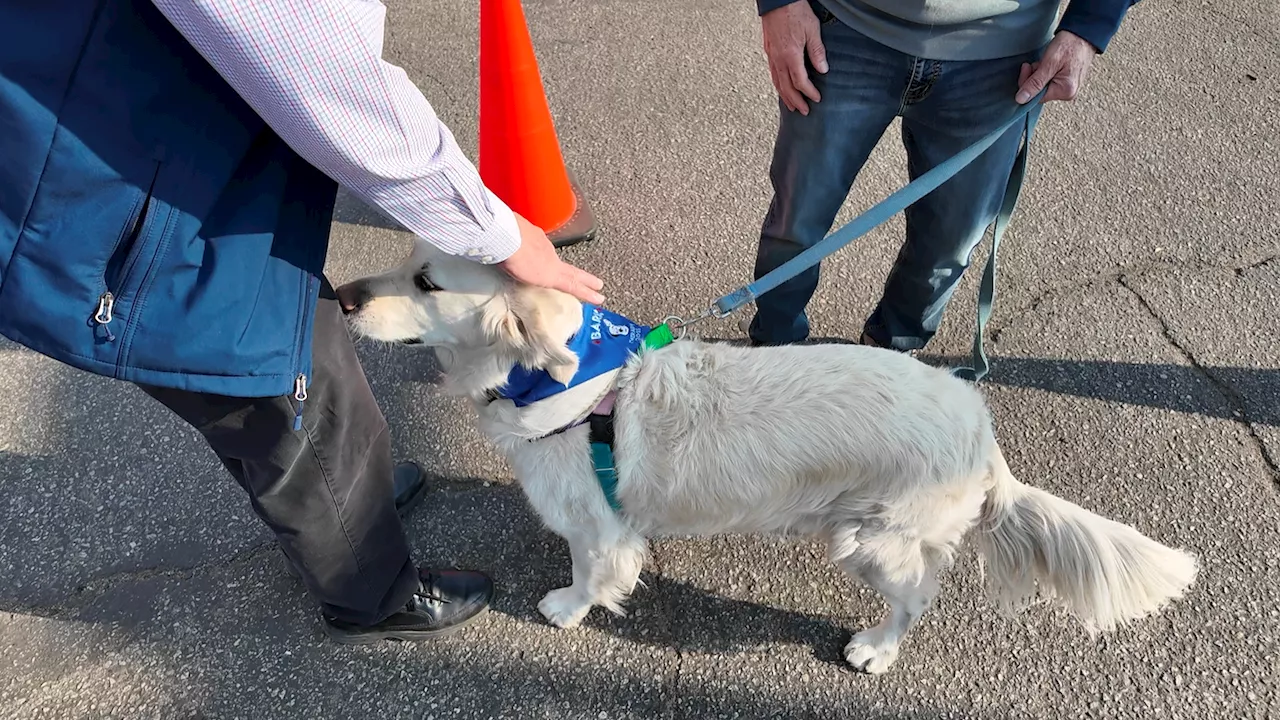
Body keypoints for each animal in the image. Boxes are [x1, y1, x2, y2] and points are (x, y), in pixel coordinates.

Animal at [337, 242, 1198, 671]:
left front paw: (567, 608)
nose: (340, 296)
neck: (567, 378)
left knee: (919, 595)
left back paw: (876, 649)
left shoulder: (600, 528)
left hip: (870, 540)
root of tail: (980, 434)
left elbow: (589, 576)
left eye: (425, 280)